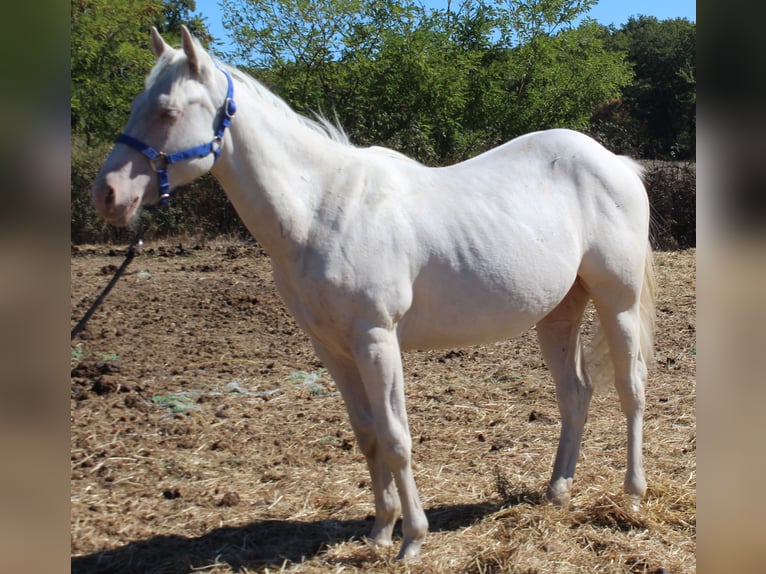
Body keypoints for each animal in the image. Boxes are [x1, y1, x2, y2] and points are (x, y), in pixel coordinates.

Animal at [92, 26, 655, 561]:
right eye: (137, 105)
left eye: (167, 111)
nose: (108, 196)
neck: (320, 209)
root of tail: (616, 163)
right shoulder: (332, 349)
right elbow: (366, 437)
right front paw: (381, 532)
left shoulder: (376, 340)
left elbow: (395, 437)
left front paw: (413, 539)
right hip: (557, 314)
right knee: (575, 394)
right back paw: (557, 490)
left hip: (617, 303)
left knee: (630, 389)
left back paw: (632, 495)